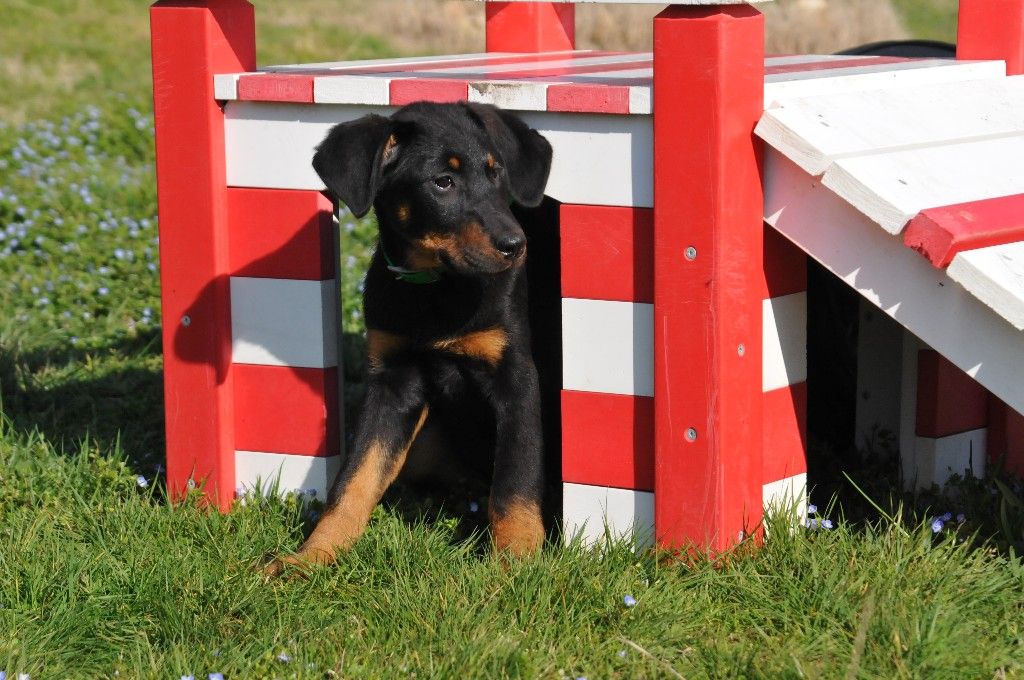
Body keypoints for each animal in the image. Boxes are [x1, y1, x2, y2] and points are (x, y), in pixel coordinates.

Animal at [265, 102, 554, 573]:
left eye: (496, 173)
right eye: (443, 182)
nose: (516, 245)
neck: (436, 289)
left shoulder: (516, 377)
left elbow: (515, 479)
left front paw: (515, 563)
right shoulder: (392, 382)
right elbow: (356, 478)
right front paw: (313, 556)